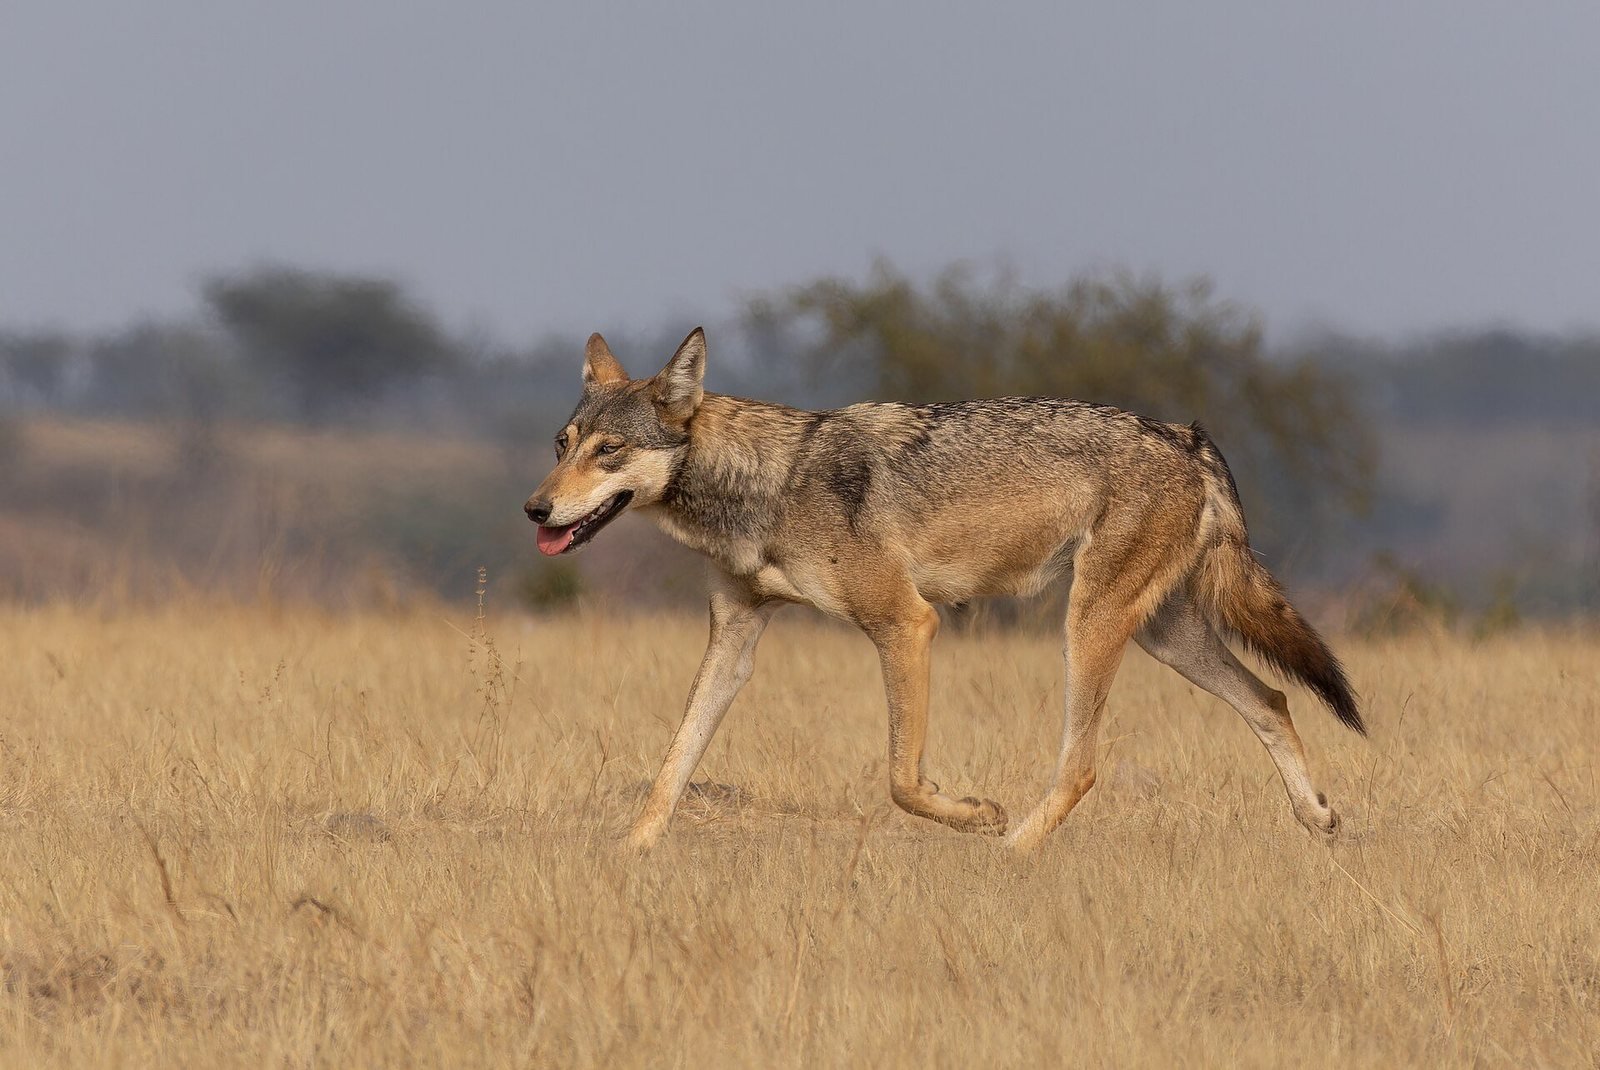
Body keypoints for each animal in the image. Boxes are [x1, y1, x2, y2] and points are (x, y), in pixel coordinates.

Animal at [525, 328, 1364, 852]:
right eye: (562, 445)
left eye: (609, 452)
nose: (534, 509)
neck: (768, 485)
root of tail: (1186, 436)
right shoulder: (734, 639)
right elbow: (672, 765)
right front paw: (628, 853)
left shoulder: (907, 624)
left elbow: (901, 779)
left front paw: (976, 814)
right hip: (1163, 635)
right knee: (1273, 699)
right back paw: (1319, 819)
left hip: (1089, 627)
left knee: (1083, 765)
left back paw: (1010, 849)